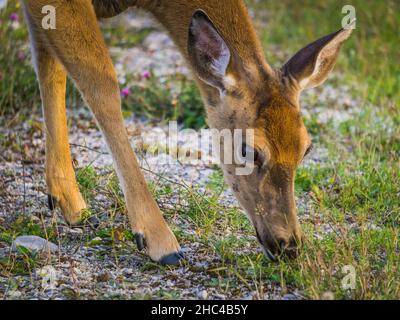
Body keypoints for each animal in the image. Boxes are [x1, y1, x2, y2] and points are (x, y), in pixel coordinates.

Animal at [21, 0, 354, 264]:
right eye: (248, 149)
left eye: (306, 148)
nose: (289, 246)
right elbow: (101, 80)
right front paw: (159, 240)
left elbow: (49, 62)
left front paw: (65, 198)